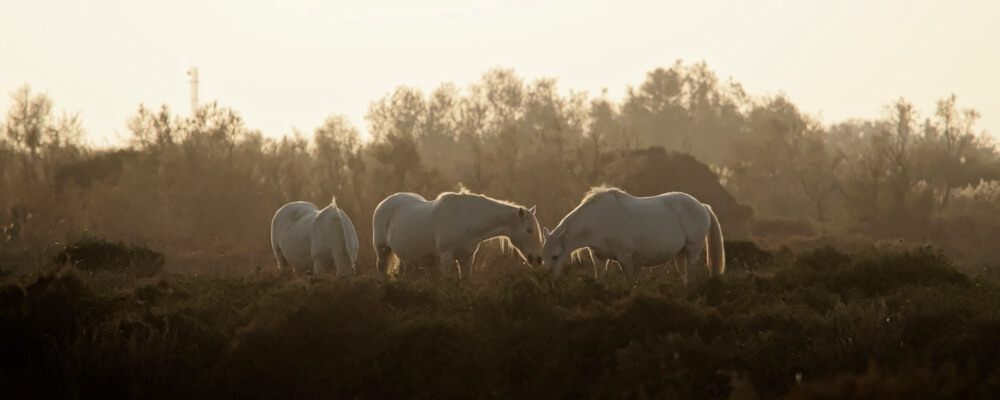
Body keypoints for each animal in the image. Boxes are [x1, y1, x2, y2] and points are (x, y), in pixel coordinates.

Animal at [374, 189, 544, 280]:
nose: (537, 259)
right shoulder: (446, 258)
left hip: (407, 259)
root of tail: (383, 203)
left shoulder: (467, 259)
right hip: (382, 252)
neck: (465, 220)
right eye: (528, 230)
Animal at [544, 187, 724, 282]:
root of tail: (702, 206)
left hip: (692, 252)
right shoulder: (598, 258)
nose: (548, 278)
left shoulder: (625, 258)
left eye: (555, 256)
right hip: (680, 255)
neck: (600, 219)